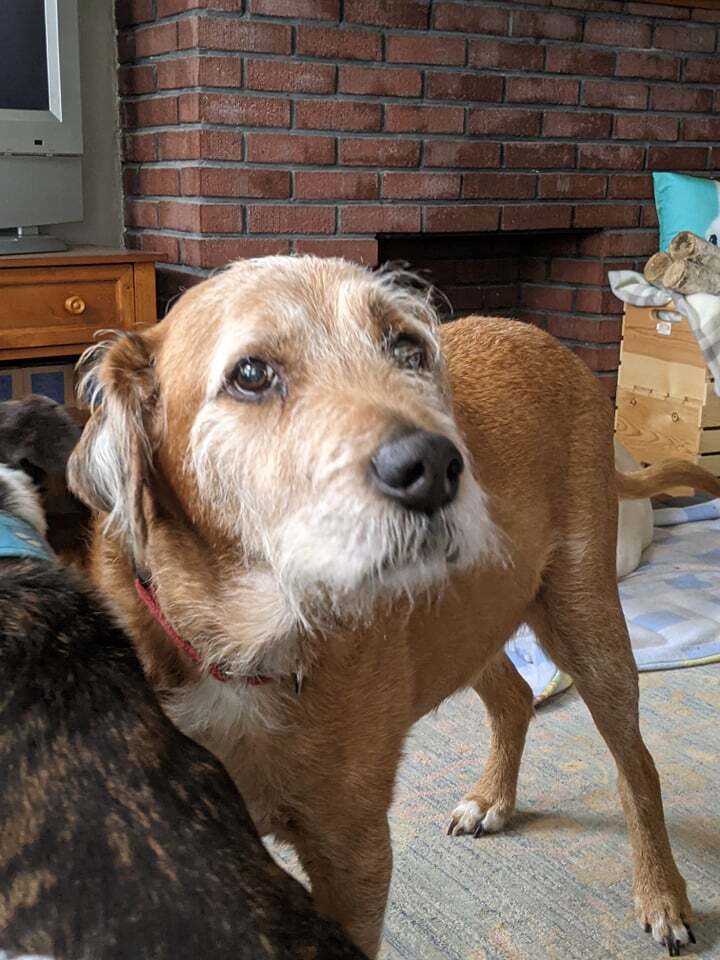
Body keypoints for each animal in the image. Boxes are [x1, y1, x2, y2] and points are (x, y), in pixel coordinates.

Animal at [69, 258, 704, 956]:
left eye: (407, 348)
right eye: (251, 374)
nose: (435, 466)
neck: (241, 651)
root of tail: (549, 343)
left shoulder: (355, 855)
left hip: (584, 620)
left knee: (637, 766)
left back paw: (662, 893)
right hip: (472, 619)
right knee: (514, 697)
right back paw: (492, 797)